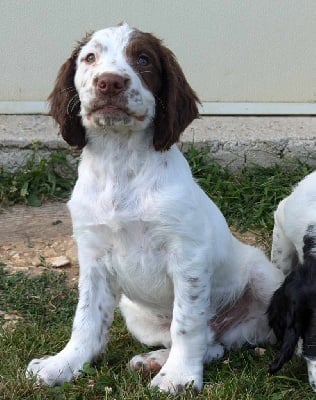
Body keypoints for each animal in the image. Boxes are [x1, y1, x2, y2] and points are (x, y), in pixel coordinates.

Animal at [26, 22, 282, 394]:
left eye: (143, 59)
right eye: (90, 58)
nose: (110, 83)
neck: (121, 161)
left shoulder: (187, 256)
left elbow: (187, 323)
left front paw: (178, 377)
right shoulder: (93, 257)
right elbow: (87, 320)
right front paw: (63, 364)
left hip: (266, 280)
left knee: (208, 335)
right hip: (136, 316)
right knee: (211, 343)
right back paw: (154, 359)